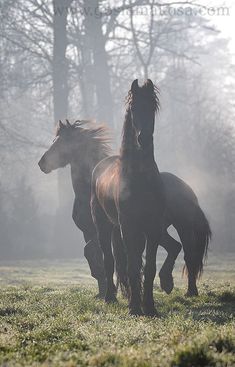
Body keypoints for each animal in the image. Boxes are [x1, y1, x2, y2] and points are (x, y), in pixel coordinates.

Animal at [91, 80, 166, 316]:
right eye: (133, 109)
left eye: (152, 107)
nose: (144, 138)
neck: (139, 178)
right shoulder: (129, 227)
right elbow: (132, 266)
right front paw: (134, 308)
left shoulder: (153, 227)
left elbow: (148, 267)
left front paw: (149, 306)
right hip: (104, 227)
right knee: (109, 261)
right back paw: (110, 297)